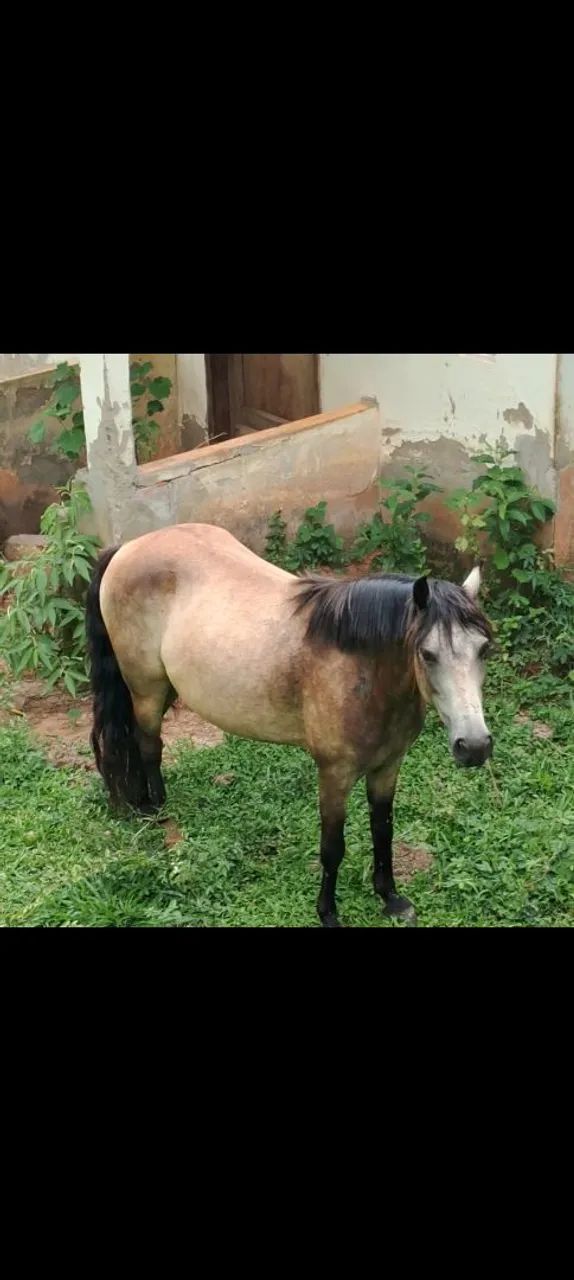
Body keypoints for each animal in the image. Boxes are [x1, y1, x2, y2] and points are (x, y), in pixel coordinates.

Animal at [85, 523, 493, 927]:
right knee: (148, 744)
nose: (474, 746)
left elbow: (383, 829)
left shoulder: (388, 766)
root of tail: (128, 547)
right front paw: (328, 913)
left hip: (169, 687)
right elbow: (332, 847)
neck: (358, 666)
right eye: (427, 654)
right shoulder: (334, 774)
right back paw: (156, 812)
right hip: (146, 689)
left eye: (484, 649)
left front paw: (390, 898)